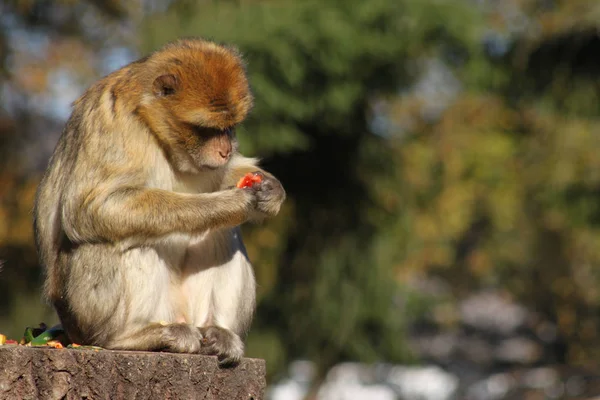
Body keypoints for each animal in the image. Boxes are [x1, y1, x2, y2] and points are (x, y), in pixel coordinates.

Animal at [32, 37, 286, 366]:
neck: (154, 127)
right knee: (127, 237)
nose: (225, 149)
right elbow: (90, 208)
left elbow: (227, 173)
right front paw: (230, 204)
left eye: (229, 127)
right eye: (207, 129)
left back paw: (219, 332)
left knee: (222, 233)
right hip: (88, 316)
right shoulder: (116, 125)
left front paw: (272, 190)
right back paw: (130, 336)